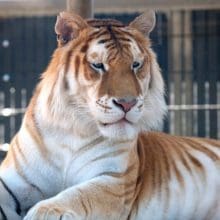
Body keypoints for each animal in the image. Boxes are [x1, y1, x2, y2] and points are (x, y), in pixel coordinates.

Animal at [0, 9, 220, 219]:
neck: (74, 131)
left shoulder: (115, 180)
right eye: (98, 65)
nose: (127, 103)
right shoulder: (13, 178)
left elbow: (79, 195)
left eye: (135, 65)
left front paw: (45, 211)